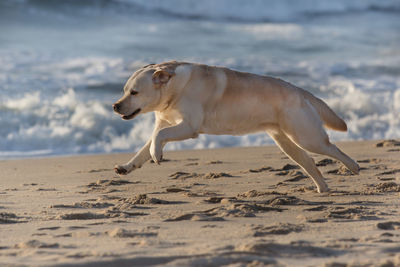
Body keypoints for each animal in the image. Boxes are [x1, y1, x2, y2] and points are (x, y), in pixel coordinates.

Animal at [112, 61, 360, 194]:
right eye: (124, 90)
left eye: (134, 92)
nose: (115, 106)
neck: (172, 90)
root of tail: (299, 90)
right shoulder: (165, 122)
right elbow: (147, 145)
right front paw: (127, 166)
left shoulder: (189, 126)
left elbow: (159, 137)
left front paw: (157, 153)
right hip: (287, 142)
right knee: (310, 163)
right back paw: (322, 188)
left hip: (307, 137)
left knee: (333, 148)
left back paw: (354, 166)